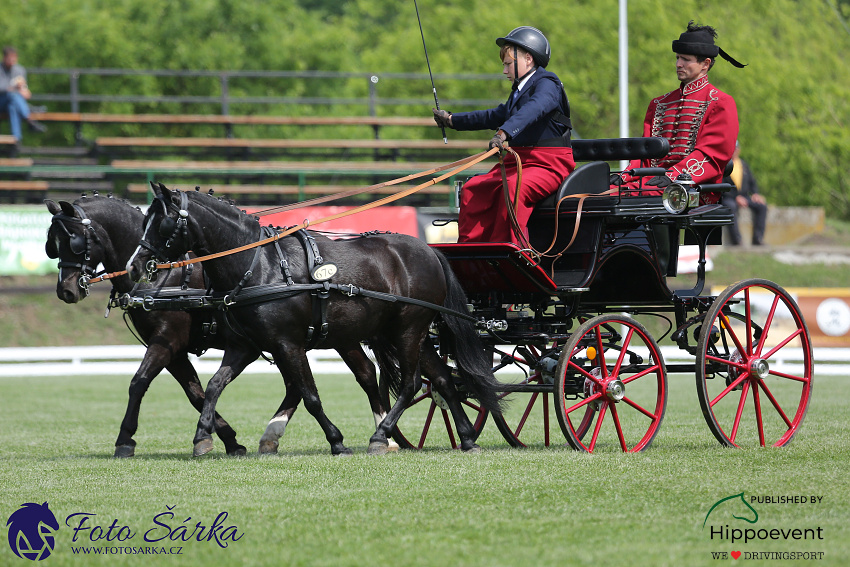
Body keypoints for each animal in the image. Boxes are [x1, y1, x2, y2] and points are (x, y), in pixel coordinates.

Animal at [44, 195, 394, 458]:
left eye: (73, 241)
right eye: (52, 244)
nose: (66, 290)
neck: (165, 276)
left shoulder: (168, 340)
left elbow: (139, 383)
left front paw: (125, 439)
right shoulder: (177, 350)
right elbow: (197, 393)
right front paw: (227, 438)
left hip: (334, 336)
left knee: (364, 374)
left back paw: (386, 435)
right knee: (306, 384)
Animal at [124, 185, 496, 458]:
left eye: (162, 222)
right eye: (142, 221)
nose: (135, 266)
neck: (259, 264)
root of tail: (430, 250)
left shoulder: (288, 343)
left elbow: (310, 394)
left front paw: (337, 441)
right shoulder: (246, 345)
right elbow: (214, 385)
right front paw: (204, 436)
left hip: (407, 330)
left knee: (411, 383)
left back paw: (380, 436)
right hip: (409, 334)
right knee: (443, 380)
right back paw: (466, 438)